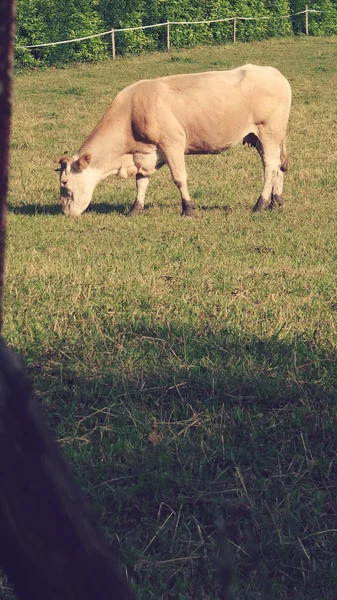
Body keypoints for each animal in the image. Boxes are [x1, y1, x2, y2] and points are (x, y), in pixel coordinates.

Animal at [56, 64, 290, 218]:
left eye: (64, 183)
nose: (65, 211)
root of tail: (275, 73)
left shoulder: (173, 143)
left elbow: (179, 178)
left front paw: (188, 209)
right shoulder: (146, 154)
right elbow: (141, 181)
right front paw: (135, 209)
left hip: (268, 132)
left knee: (270, 167)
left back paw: (261, 204)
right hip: (263, 137)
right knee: (278, 166)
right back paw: (276, 201)